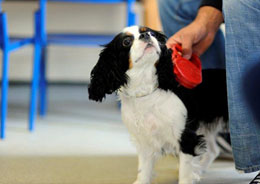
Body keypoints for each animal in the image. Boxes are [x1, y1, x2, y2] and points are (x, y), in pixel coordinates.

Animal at [89, 26, 228, 184]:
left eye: (152, 33)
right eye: (126, 41)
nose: (145, 35)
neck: (146, 92)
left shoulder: (186, 136)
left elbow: (185, 170)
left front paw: (187, 178)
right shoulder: (144, 141)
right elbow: (144, 169)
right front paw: (141, 181)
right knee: (213, 151)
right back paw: (198, 172)